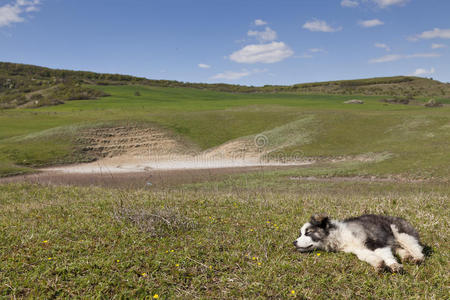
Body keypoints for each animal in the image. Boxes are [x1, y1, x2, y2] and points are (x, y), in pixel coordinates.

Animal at [294, 213, 424, 272]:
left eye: (308, 232)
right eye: (300, 234)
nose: (294, 243)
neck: (340, 235)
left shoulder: (375, 242)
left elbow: (385, 255)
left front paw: (393, 265)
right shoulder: (358, 249)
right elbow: (367, 256)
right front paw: (378, 263)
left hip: (401, 233)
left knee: (415, 247)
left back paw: (417, 258)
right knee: (398, 248)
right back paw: (406, 256)